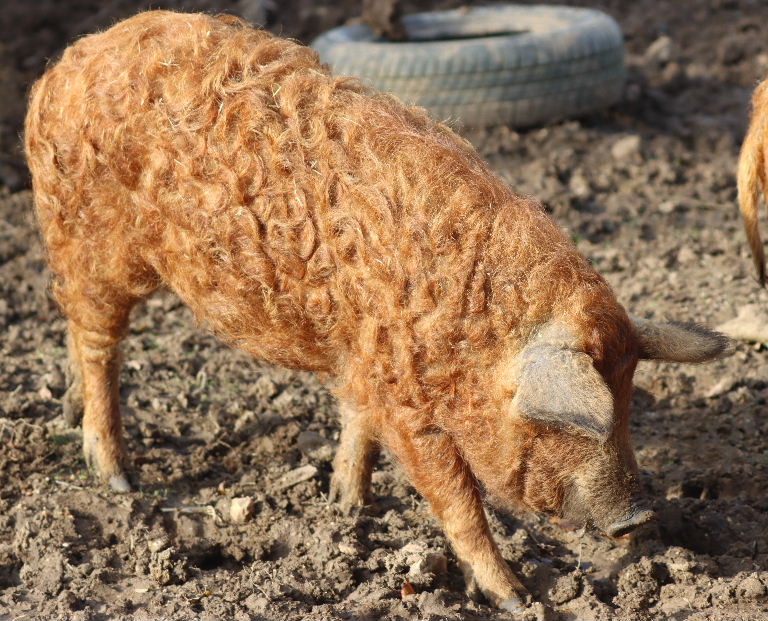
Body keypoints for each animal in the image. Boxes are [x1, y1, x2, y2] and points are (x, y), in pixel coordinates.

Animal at [24, 11, 730, 611]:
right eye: (563, 421)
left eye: (630, 397)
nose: (641, 517)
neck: (470, 331)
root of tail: (68, 63)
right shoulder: (409, 405)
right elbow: (457, 498)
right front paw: (517, 597)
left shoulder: (366, 361)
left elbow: (356, 422)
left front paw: (346, 505)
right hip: (90, 243)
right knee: (97, 341)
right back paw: (117, 478)